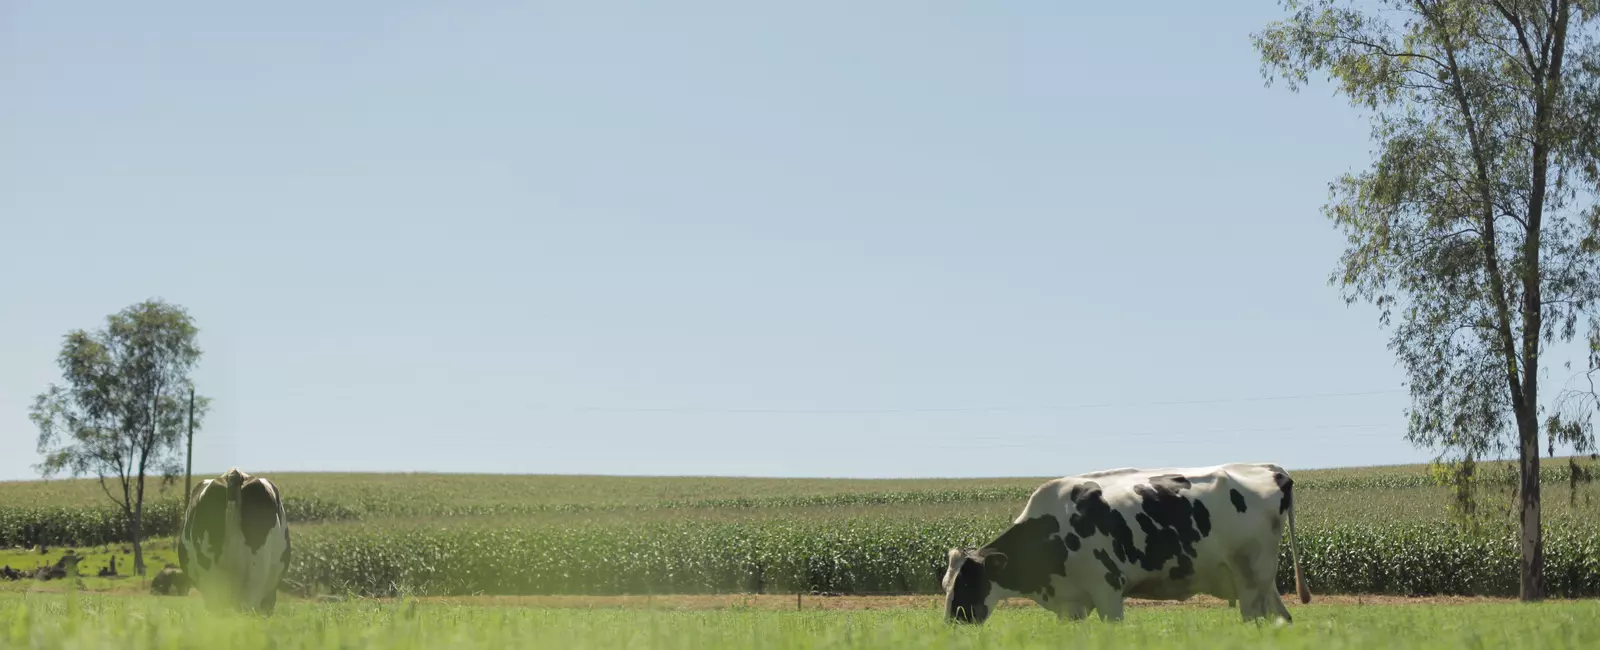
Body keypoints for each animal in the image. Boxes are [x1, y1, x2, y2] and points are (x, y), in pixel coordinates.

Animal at [940, 461, 1305, 624]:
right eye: (945, 584)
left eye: (969, 582)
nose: (951, 623)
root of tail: (1268, 468)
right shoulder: (1071, 604)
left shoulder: (1108, 589)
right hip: (1260, 579)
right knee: (1282, 617)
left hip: (1251, 576)